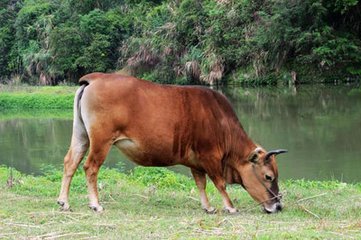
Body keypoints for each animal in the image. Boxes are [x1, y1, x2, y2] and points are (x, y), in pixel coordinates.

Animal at [57, 72, 286, 214]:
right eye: (269, 176)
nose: (278, 206)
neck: (221, 123)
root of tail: (94, 78)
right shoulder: (210, 156)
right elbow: (219, 183)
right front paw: (229, 207)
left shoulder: (196, 163)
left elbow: (201, 183)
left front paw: (208, 207)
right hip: (101, 141)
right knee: (90, 167)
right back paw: (95, 204)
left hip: (81, 136)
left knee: (70, 162)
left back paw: (64, 202)